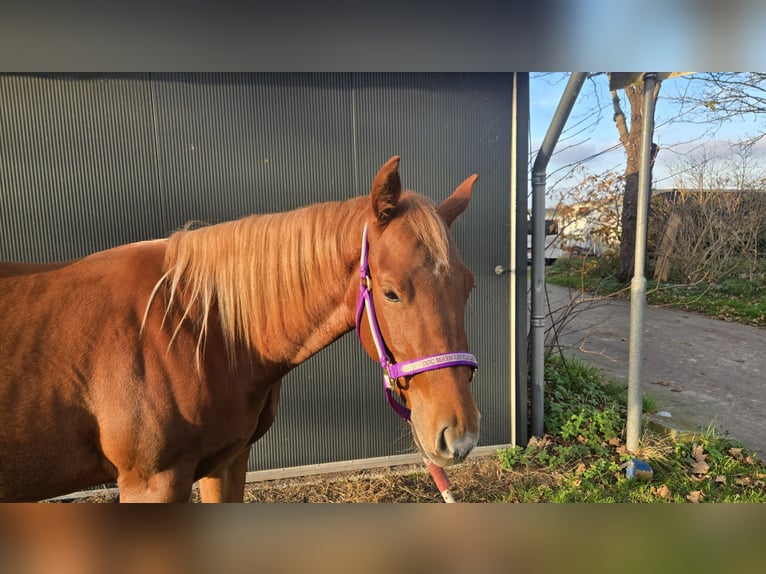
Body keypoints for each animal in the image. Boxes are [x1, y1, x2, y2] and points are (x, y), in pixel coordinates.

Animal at [0, 156, 481, 502]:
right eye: (391, 293)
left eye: (468, 286)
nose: (460, 436)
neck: (192, 328)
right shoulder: (152, 483)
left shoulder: (225, 463)